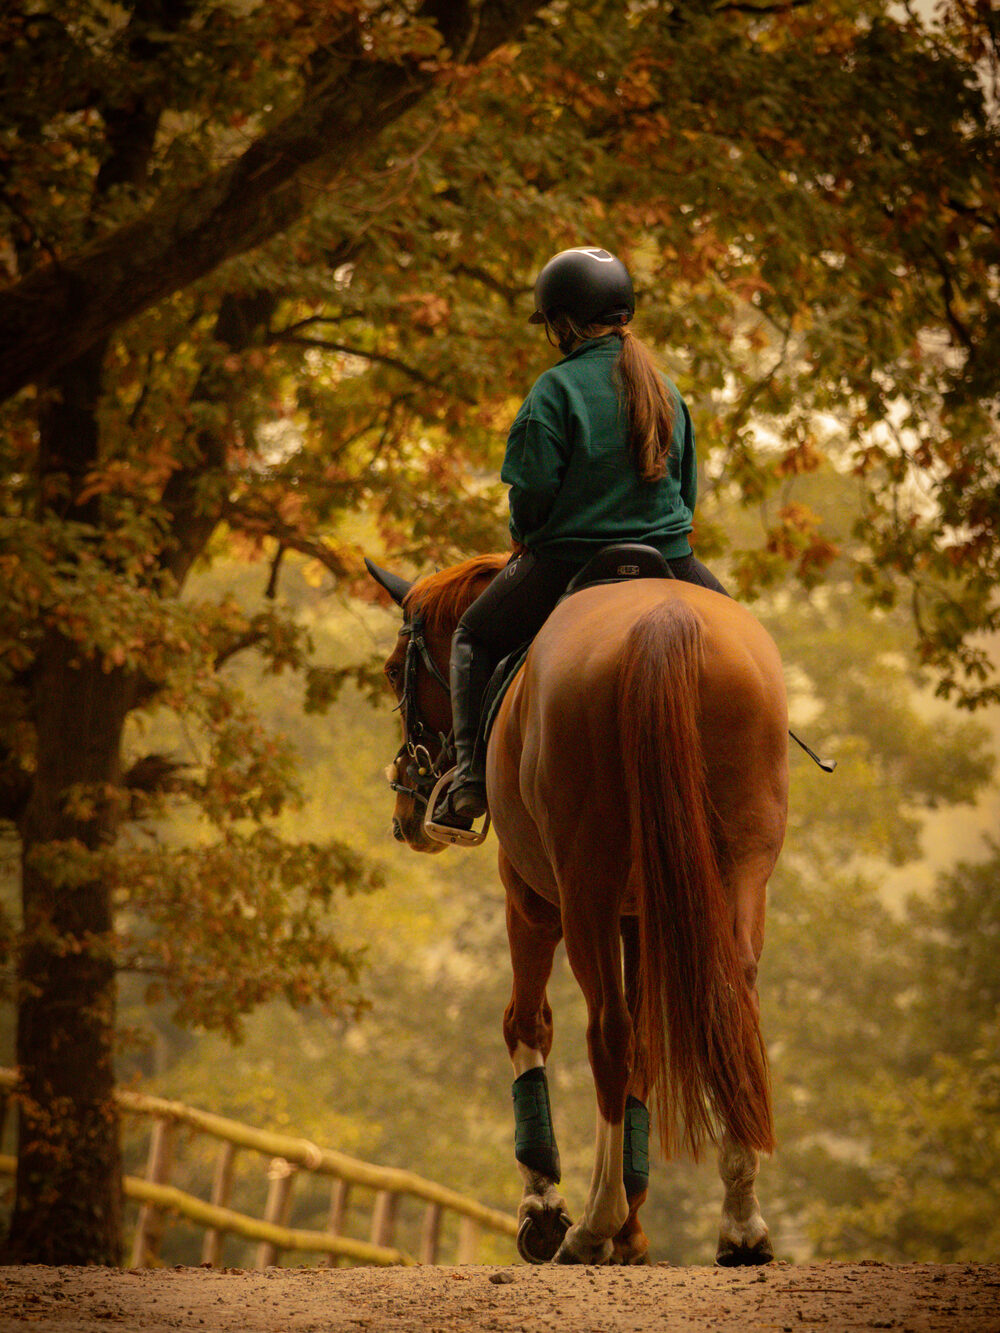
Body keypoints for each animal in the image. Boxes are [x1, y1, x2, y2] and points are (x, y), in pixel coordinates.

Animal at [367, 552, 789, 1266]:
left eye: (398, 670)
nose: (406, 812)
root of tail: (664, 626)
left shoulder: (533, 900)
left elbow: (526, 1023)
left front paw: (544, 1205)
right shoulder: (641, 916)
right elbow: (649, 1046)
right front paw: (634, 1230)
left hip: (584, 886)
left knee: (607, 1032)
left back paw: (594, 1221)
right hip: (737, 878)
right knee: (725, 1011)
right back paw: (738, 1223)